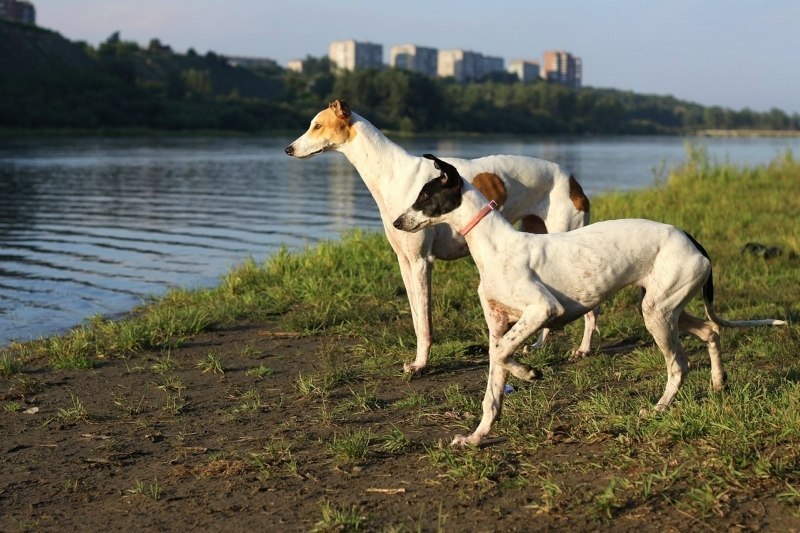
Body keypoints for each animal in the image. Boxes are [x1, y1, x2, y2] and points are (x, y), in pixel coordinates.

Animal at [284, 100, 596, 374]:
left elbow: (425, 323)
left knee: (590, 310)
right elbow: (416, 317)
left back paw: (583, 349)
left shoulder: (422, 261)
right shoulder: (405, 261)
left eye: (317, 125)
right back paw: (540, 345)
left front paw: (421, 365)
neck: (392, 172)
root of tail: (573, 181)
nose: (288, 149)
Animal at [390, 154, 784, 444]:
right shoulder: (499, 326)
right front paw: (477, 436)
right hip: (665, 307)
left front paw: (530, 372)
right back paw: (718, 383)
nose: (396, 223)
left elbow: (503, 354)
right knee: (711, 332)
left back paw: (658, 409)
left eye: (425, 196)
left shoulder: (543, 309)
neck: (495, 245)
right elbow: (494, 379)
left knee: (679, 366)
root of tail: (691, 239)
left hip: (658, 314)